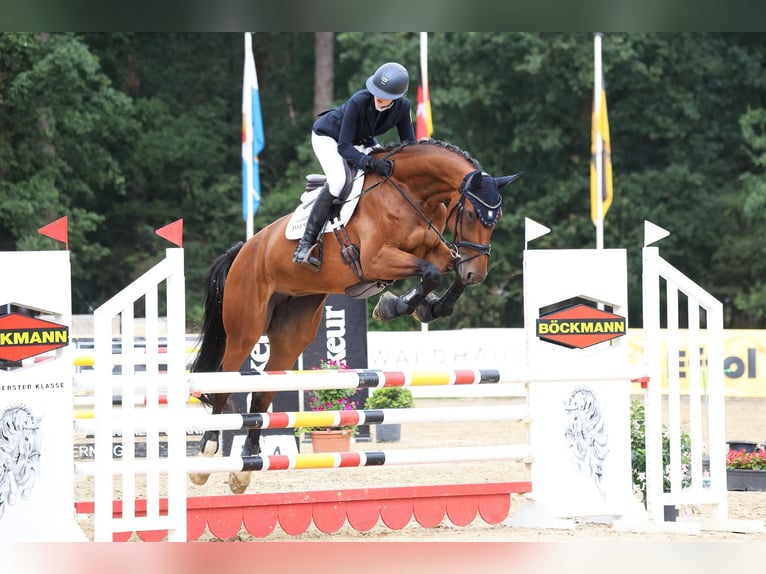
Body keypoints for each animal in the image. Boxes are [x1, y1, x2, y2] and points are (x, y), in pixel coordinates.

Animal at [190, 139, 521, 493]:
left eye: (497, 217)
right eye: (470, 213)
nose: (477, 274)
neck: (410, 192)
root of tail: (245, 249)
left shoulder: (437, 251)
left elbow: (446, 273)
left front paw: (424, 306)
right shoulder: (378, 259)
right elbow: (431, 274)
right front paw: (395, 306)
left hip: (292, 332)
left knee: (264, 391)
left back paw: (244, 468)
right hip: (245, 328)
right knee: (224, 381)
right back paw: (206, 456)